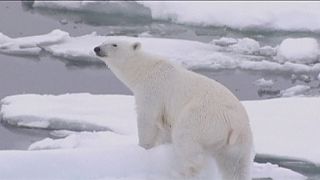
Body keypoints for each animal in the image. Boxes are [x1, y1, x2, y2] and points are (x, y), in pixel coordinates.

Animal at [94, 40, 254, 179]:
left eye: (114, 44)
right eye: (104, 41)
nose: (97, 48)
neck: (146, 69)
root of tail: (234, 124)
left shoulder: (153, 90)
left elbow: (147, 117)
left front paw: (143, 148)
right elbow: (164, 126)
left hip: (202, 118)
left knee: (185, 140)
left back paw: (183, 173)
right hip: (240, 142)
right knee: (236, 166)